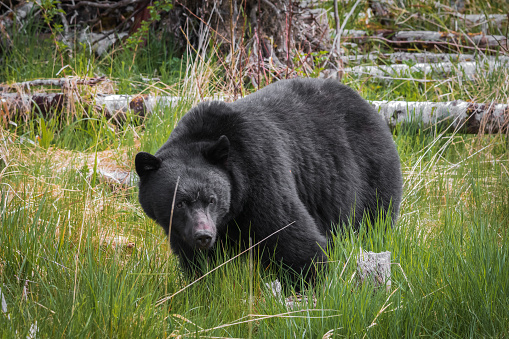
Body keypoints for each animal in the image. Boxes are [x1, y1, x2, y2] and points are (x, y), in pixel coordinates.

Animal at [135, 78, 400, 280]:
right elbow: (197, 262)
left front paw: (313, 282)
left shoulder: (260, 172)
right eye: (180, 202)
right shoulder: (181, 229)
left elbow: (291, 234)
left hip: (371, 173)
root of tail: (369, 106)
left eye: (211, 199)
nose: (204, 235)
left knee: (375, 218)